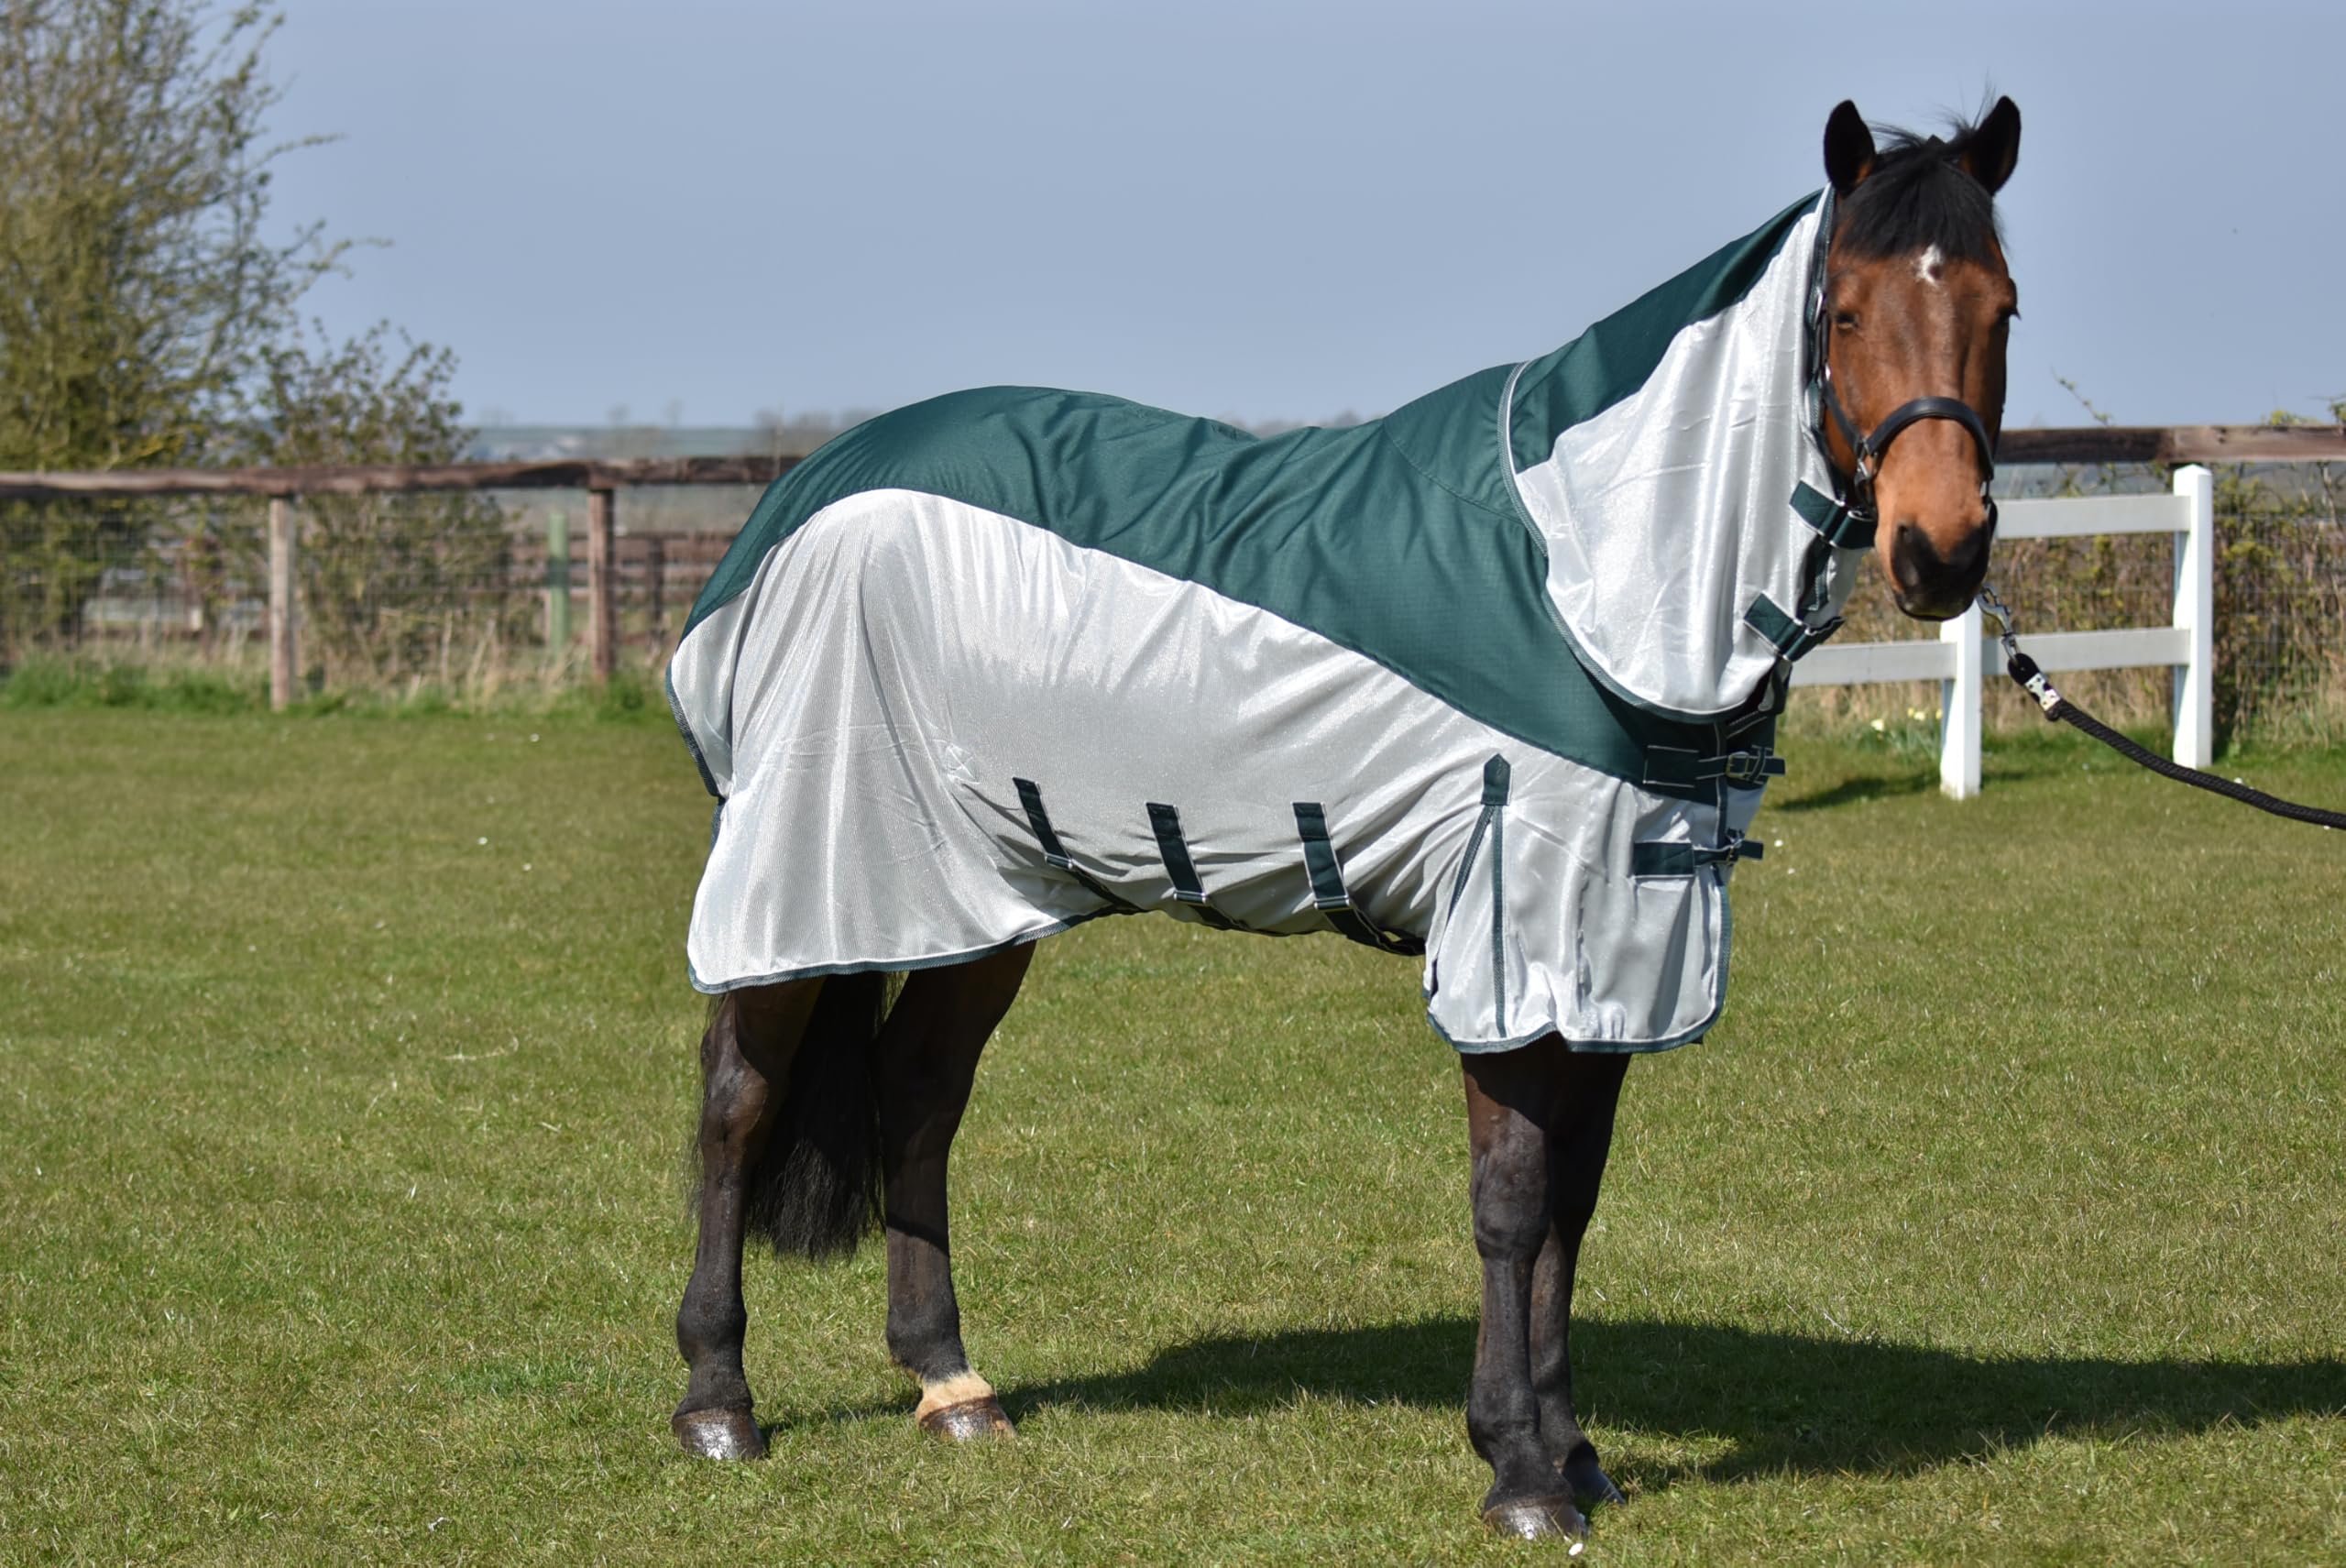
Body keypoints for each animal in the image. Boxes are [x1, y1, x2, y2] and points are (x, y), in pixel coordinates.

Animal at [662, 97, 2021, 1541]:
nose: (1940, 549)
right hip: (815, 864)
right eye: (1847, 312)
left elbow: (1576, 1203)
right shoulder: (1513, 932)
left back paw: (950, 1385)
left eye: (2000, 305)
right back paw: (719, 1402)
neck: (1586, 570)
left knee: (920, 1096)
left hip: (983, 890)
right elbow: (1514, 1201)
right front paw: (1519, 1468)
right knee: (739, 1101)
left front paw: (1573, 1449)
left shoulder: (1622, 944)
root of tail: (801, 495)